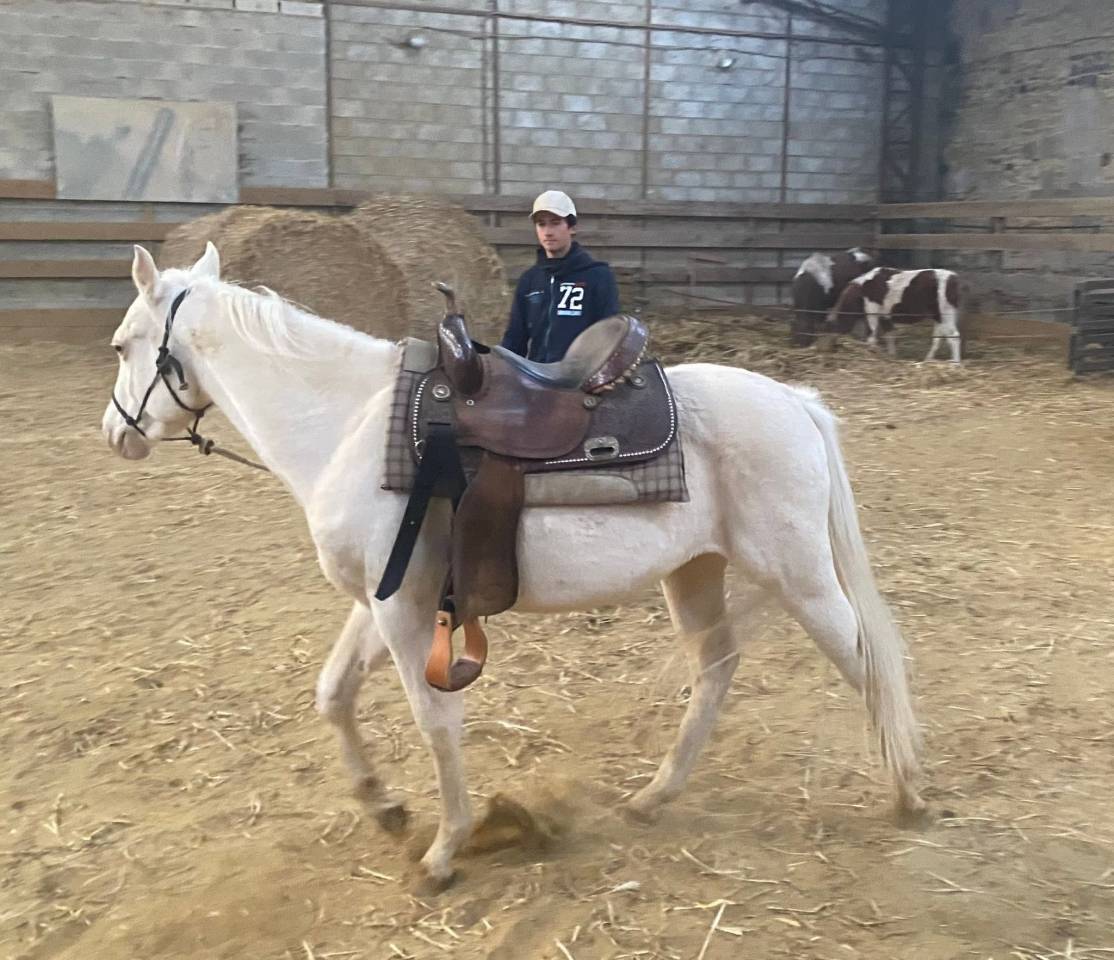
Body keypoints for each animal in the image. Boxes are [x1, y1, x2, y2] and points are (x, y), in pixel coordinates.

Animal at [101, 242, 925, 889]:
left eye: (122, 344)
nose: (116, 431)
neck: (350, 425)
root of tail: (794, 400)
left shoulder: (402, 612)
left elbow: (435, 723)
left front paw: (444, 849)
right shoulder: (381, 601)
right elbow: (333, 694)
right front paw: (383, 804)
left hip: (800, 576)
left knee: (865, 661)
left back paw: (909, 791)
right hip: (695, 571)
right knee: (716, 665)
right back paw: (655, 796)